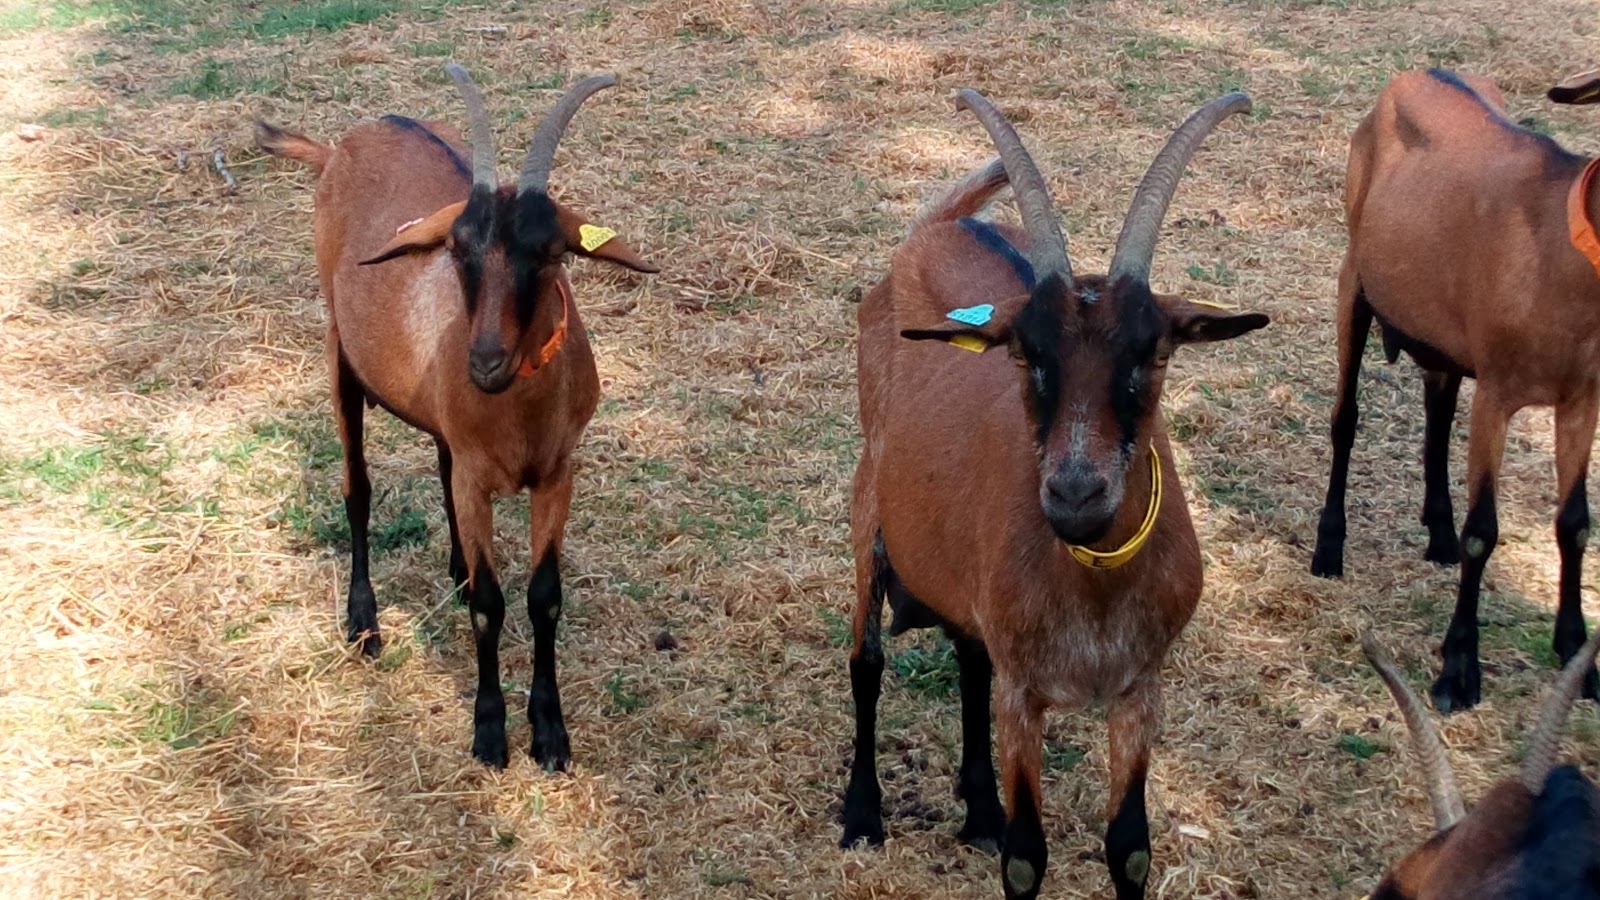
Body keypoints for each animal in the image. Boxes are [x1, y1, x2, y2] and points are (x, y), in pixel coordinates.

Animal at [260, 64, 656, 762]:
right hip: (340, 356)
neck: (519, 415)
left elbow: (544, 597)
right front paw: (490, 730)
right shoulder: (479, 477)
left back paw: (455, 569)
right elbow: (491, 606)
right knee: (356, 488)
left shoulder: (557, 473)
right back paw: (363, 623)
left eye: (551, 253)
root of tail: (339, 148)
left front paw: (550, 732)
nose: (486, 362)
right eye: (457, 249)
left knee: (439, 465)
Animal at [844, 89, 1267, 896]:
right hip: (867, 507)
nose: (1075, 495)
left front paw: (992, 813)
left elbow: (1129, 846)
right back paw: (861, 814)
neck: (1094, 595)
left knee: (968, 655)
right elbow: (1025, 856)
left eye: (1154, 353)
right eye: (1025, 352)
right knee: (866, 661)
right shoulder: (1025, 693)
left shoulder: (1138, 687)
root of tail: (940, 225)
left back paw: (979, 809)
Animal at [1312, 68, 1600, 714]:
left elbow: (1574, 523)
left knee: (1437, 415)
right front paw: (1459, 671)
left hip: (1437, 327)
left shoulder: (1583, 397)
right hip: (1355, 277)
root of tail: (1416, 73)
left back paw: (1437, 532)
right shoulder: (1497, 389)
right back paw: (1328, 548)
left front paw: (1578, 656)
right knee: (1346, 418)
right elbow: (1483, 532)